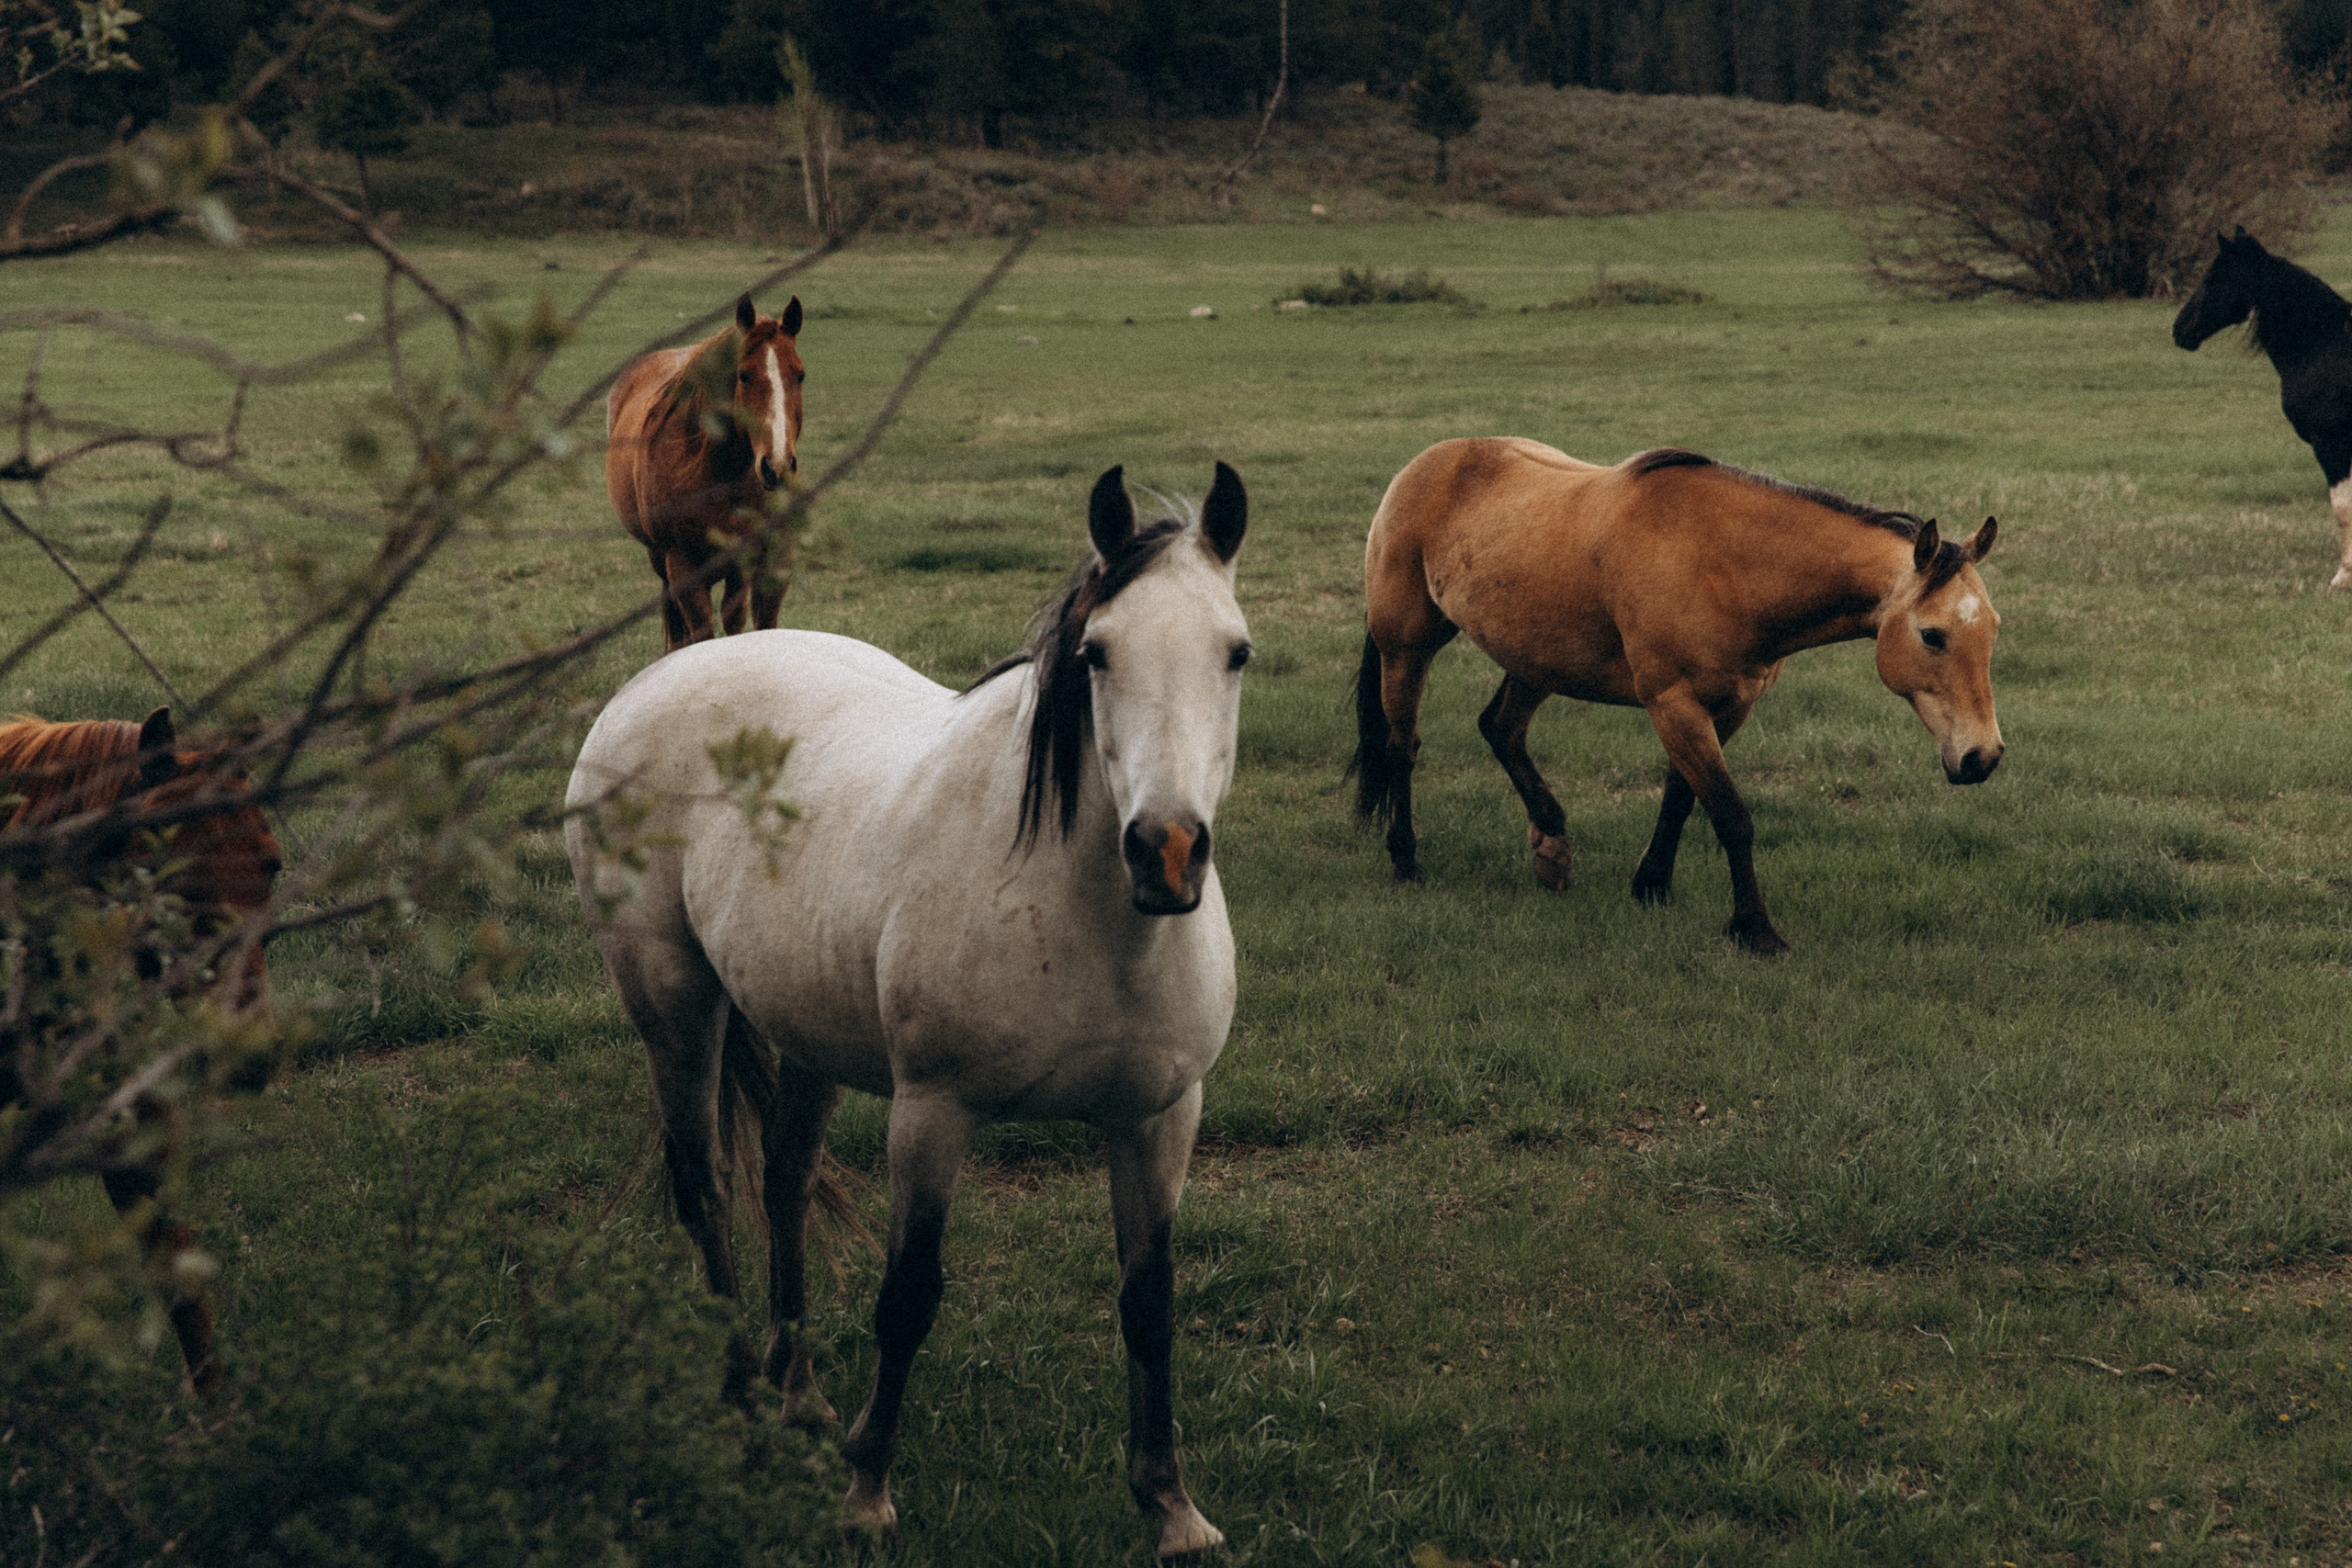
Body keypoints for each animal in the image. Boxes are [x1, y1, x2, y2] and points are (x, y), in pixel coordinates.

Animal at [566, 464, 1249, 1556]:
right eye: (1098, 653)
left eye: (1236, 651)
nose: (1168, 851)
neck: (1085, 913)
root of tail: (654, 680)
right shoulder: (933, 1112)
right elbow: (908, 1295)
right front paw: (867, 1492)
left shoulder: (1159, 1116)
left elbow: (1149, 1301)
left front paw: (1171, 1507)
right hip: (673, 1004)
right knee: (704, 1187)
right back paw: (743, 1403)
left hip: (803, 1030)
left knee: (784, 1183)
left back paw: (798, 1394)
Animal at [607, 293, 805, 651]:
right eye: (743, 375)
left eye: (800, 375)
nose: (777, 466)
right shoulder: (683, 567)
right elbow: (700, 632)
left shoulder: (753, 562)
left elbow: (739, 622)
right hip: (660, 560)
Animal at [1353, 439, 2003, 955]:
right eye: (1932, 635)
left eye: (1994, 627)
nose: (1983, 757)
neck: (1725, 564)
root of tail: (1427, 463)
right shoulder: (1673, 703)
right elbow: (1730, 815)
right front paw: (1755, 930)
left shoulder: (1728, 706)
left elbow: (1681, 798)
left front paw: (1651, 887)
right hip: (1406, 647)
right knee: (1402, 747)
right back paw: (1405, 859)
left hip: (1537, 656)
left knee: (1500, 728)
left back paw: (1551, 844)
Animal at [2172, 227, 2352, 589]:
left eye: (2214, 277)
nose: (2179, 329)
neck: (2324, 347)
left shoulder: (2332, 444)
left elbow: (2342, 507)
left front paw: (2344, 576)